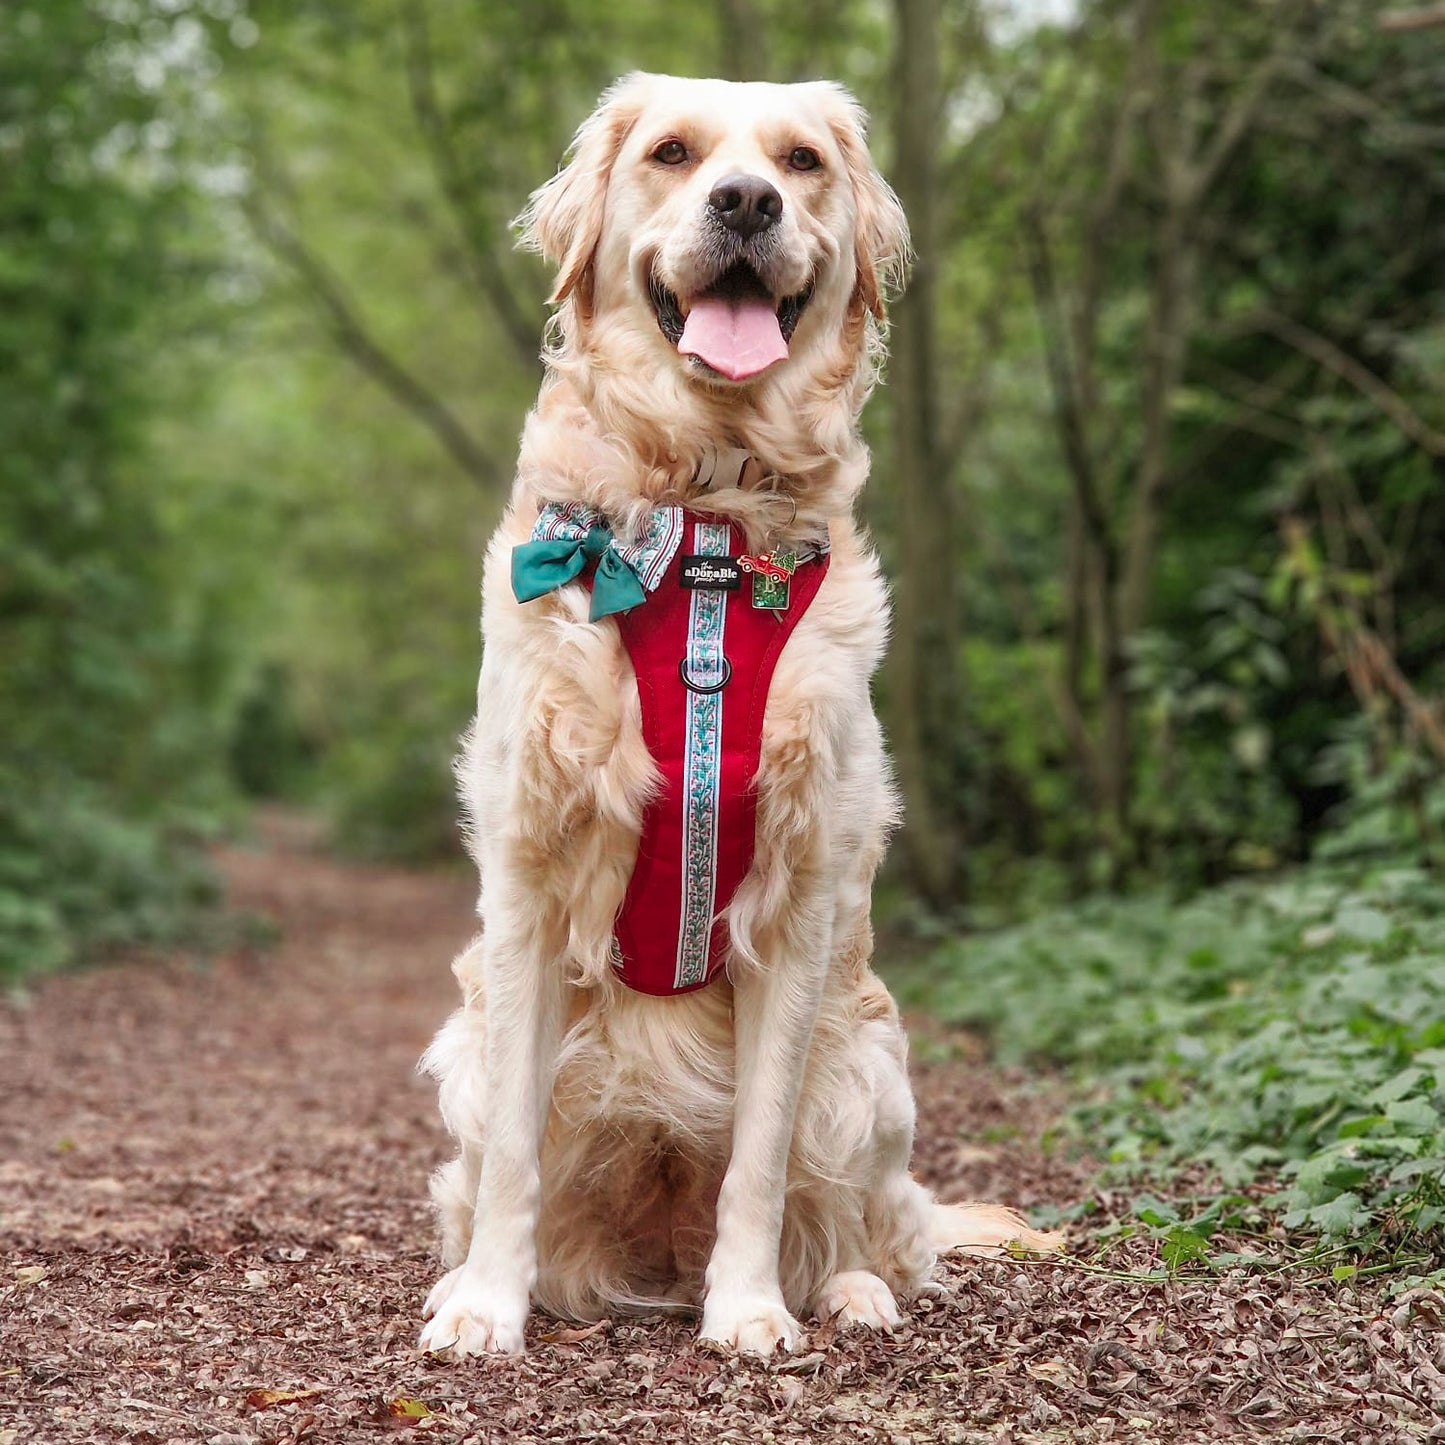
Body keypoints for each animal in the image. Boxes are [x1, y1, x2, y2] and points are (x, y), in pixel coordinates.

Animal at [419, 73, 1063, 1358]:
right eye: (671, 153)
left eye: (800, 161)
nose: (747, 201)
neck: (705, 527)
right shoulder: (524, 879)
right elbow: (510, 1150)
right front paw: (484, 1305)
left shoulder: (801, 894)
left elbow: (760, 1157)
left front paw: (751, 1308)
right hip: (463, 1046)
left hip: (871, 1064)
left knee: (861, 1215)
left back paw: (848, 1289)